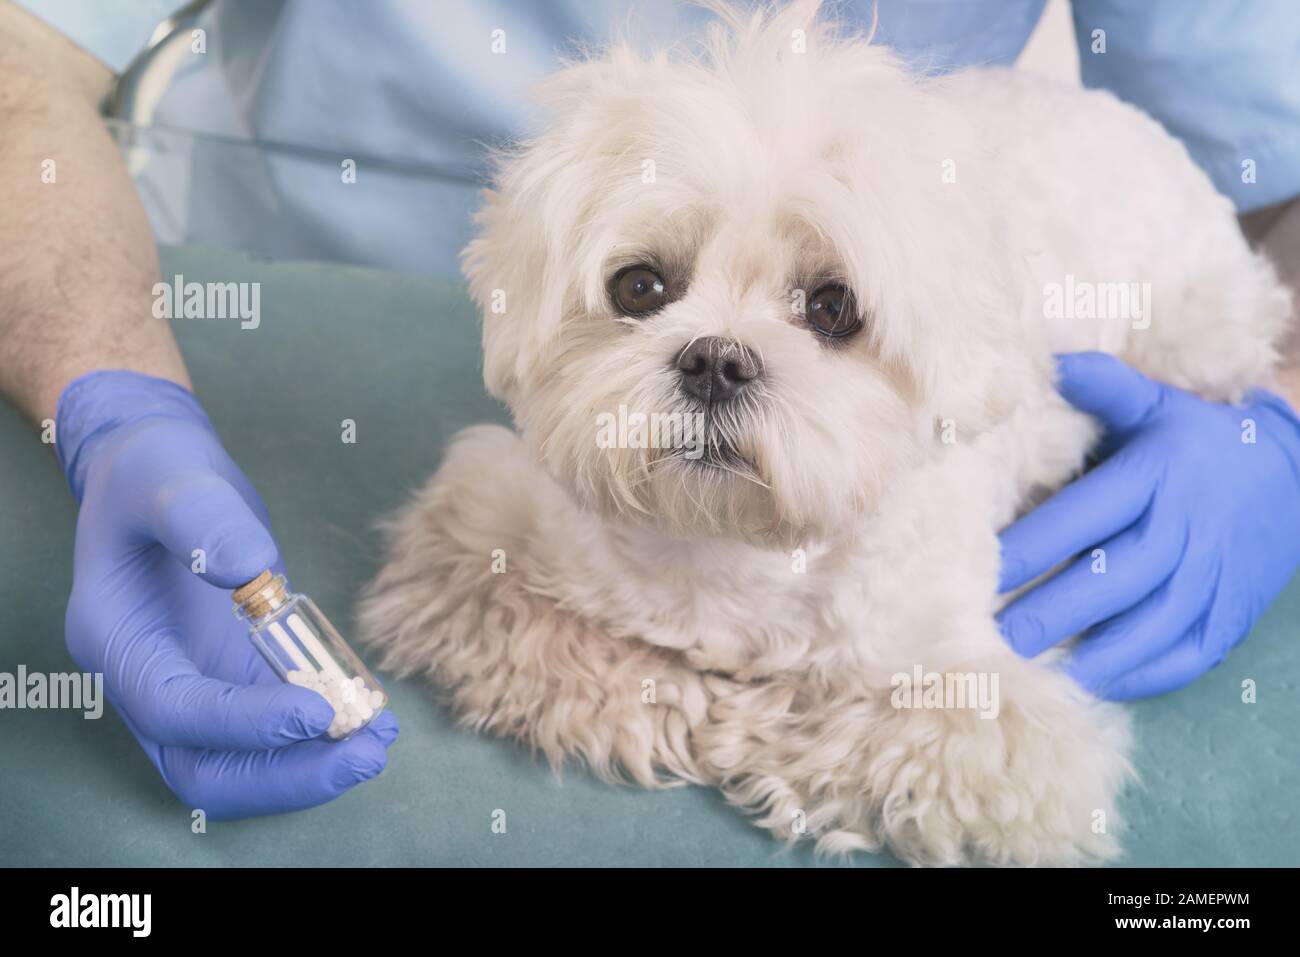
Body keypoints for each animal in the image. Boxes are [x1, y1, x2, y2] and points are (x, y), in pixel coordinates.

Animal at [356, 1, 1289, 868]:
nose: (716, 360)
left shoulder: (984, 722)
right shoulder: (485, 542)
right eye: (640, 285)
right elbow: (555, 638)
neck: (738, 552)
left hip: (1199, 336)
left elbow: (883, 732)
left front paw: (743, 718)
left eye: (834, 306)